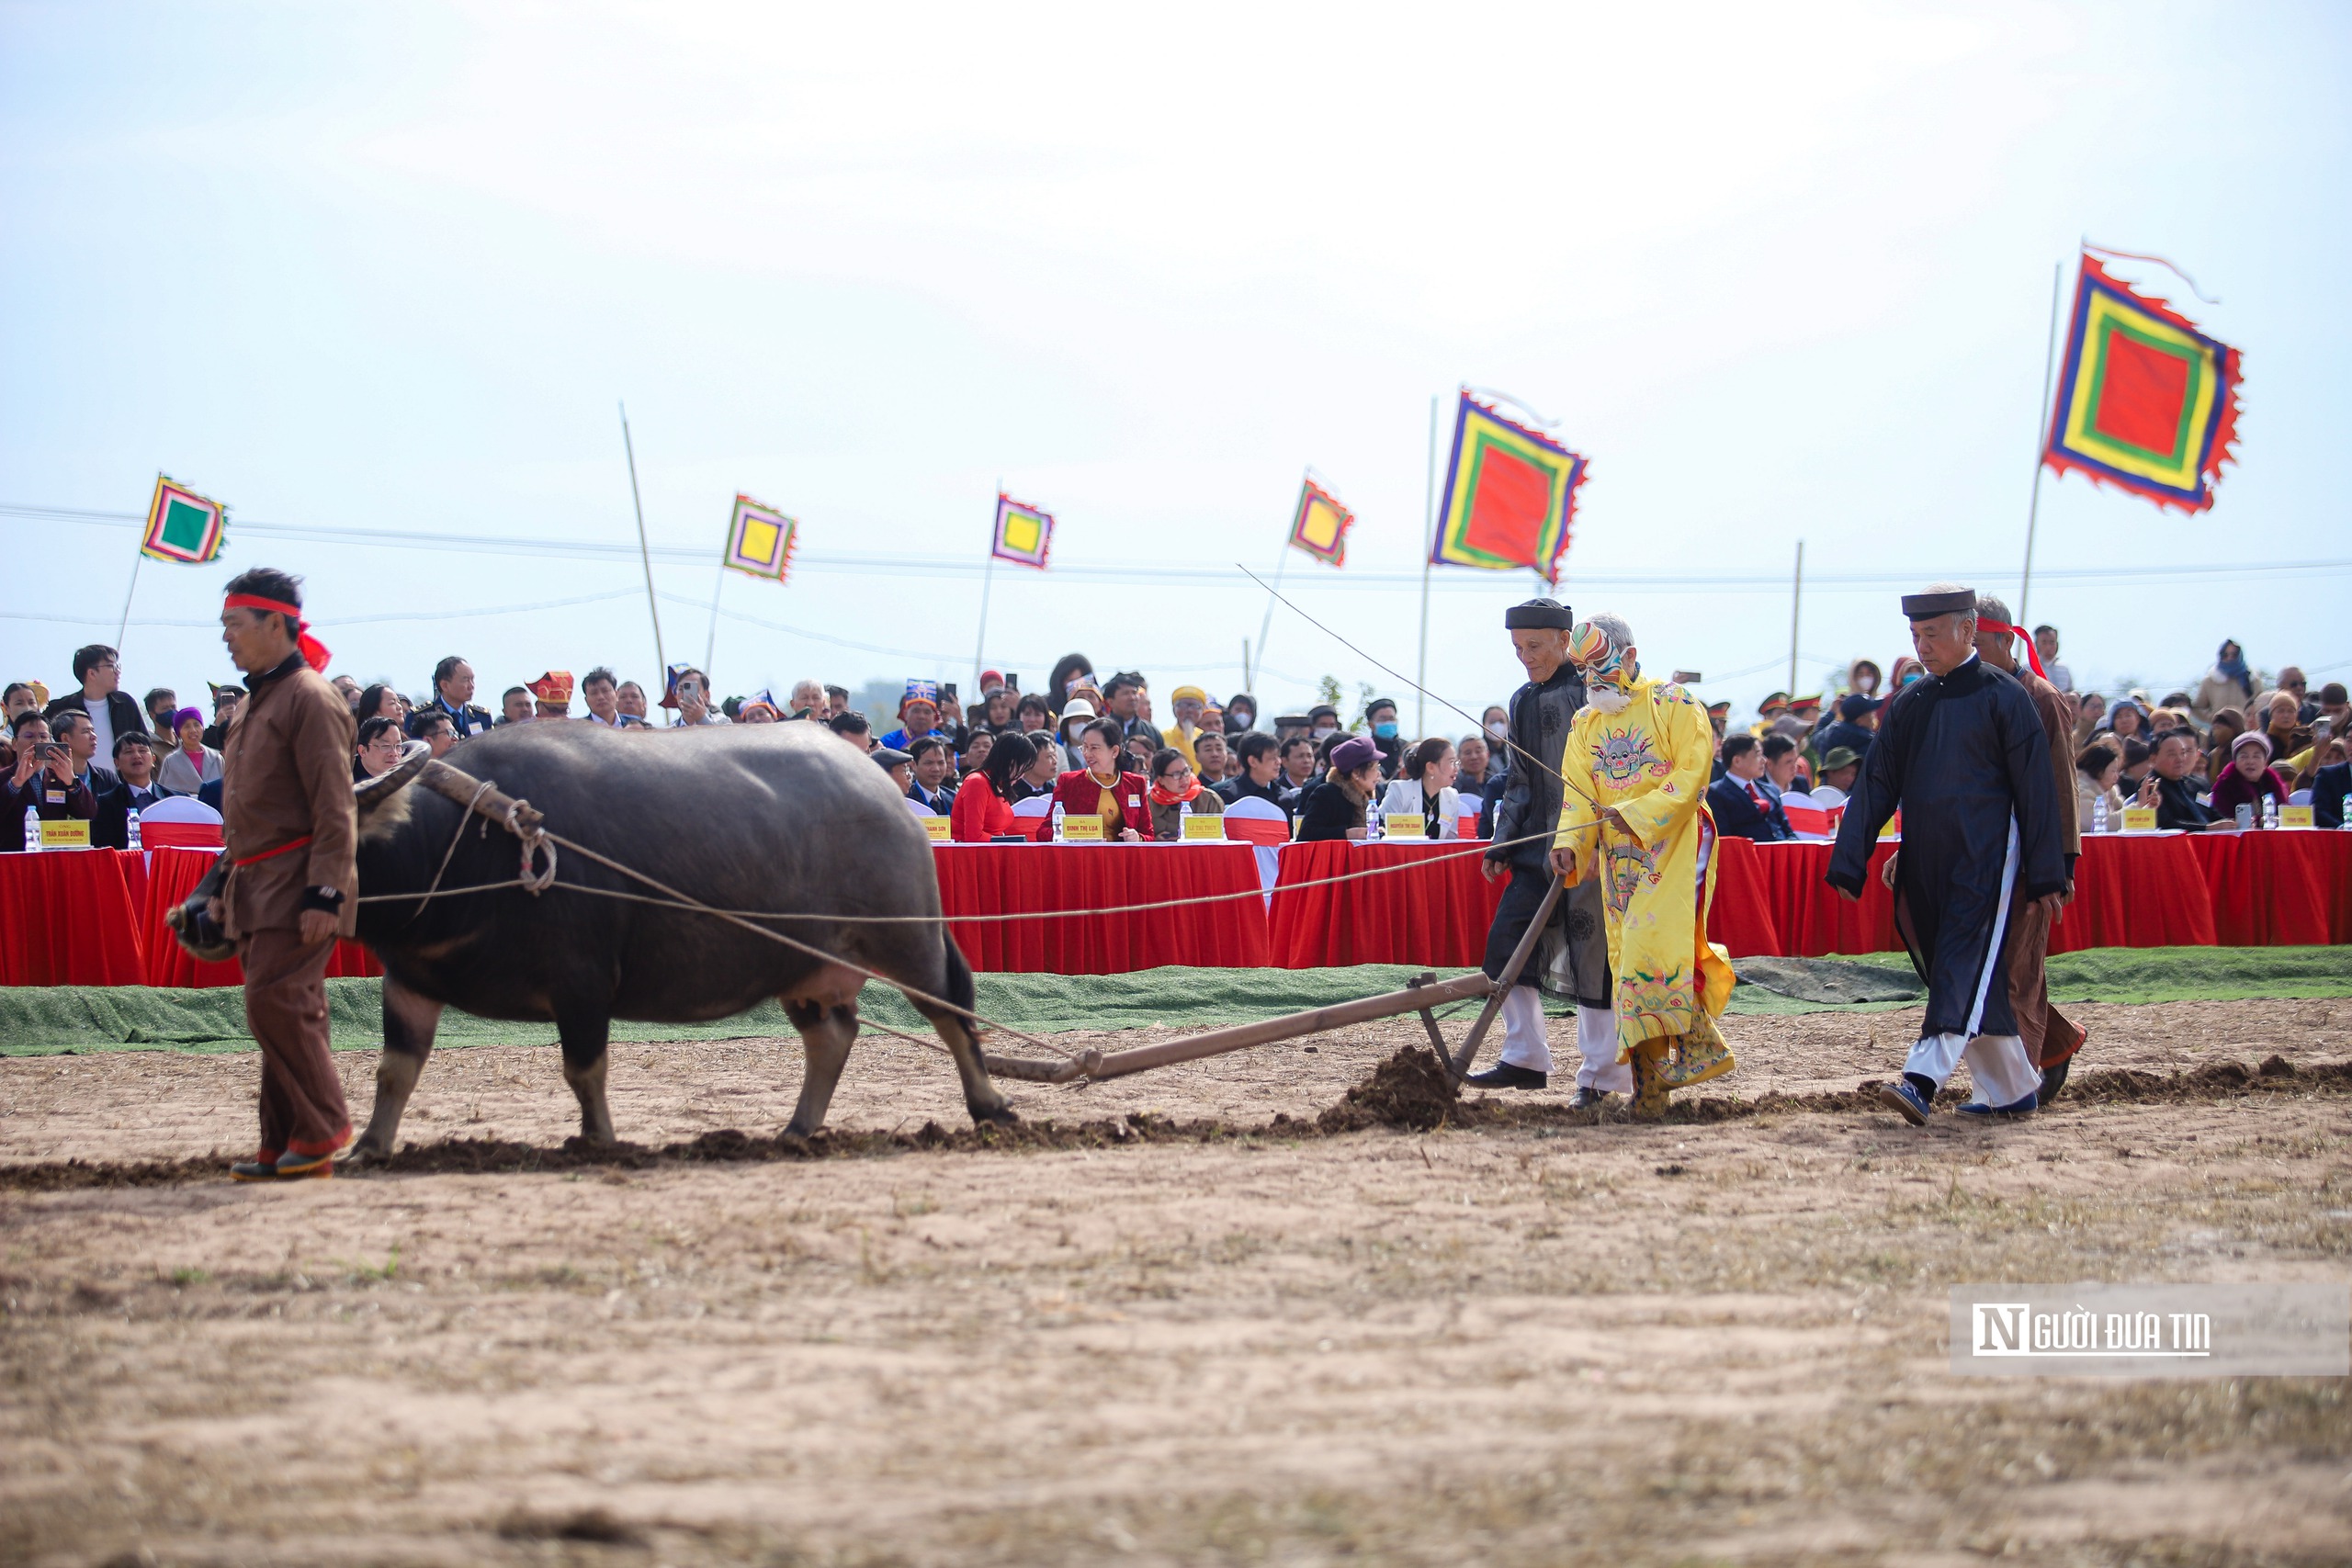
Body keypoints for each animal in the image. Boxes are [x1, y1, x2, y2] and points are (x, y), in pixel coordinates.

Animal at [336, 719, 1006, 1152]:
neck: (465, 845)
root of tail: (886, 796)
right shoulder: (408, 983)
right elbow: (394, 1071)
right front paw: (370, 1145)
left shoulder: (581, 982)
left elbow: (584, 1070)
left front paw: (599, 1140)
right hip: (803, 966)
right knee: (833, 1036)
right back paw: (795, 1130)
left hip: (907, 939)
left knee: (954, 1015)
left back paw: (993, 1109)